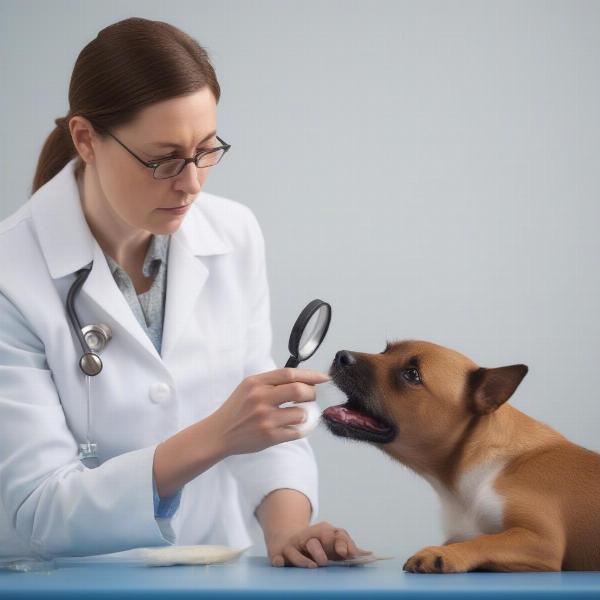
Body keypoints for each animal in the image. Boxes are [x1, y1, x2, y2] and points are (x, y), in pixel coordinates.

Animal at [324, 338, 600, 572]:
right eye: (385, 351)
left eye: (412, 375)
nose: (341, 356)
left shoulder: (540, 540)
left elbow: (486, 541)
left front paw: (441, 555)